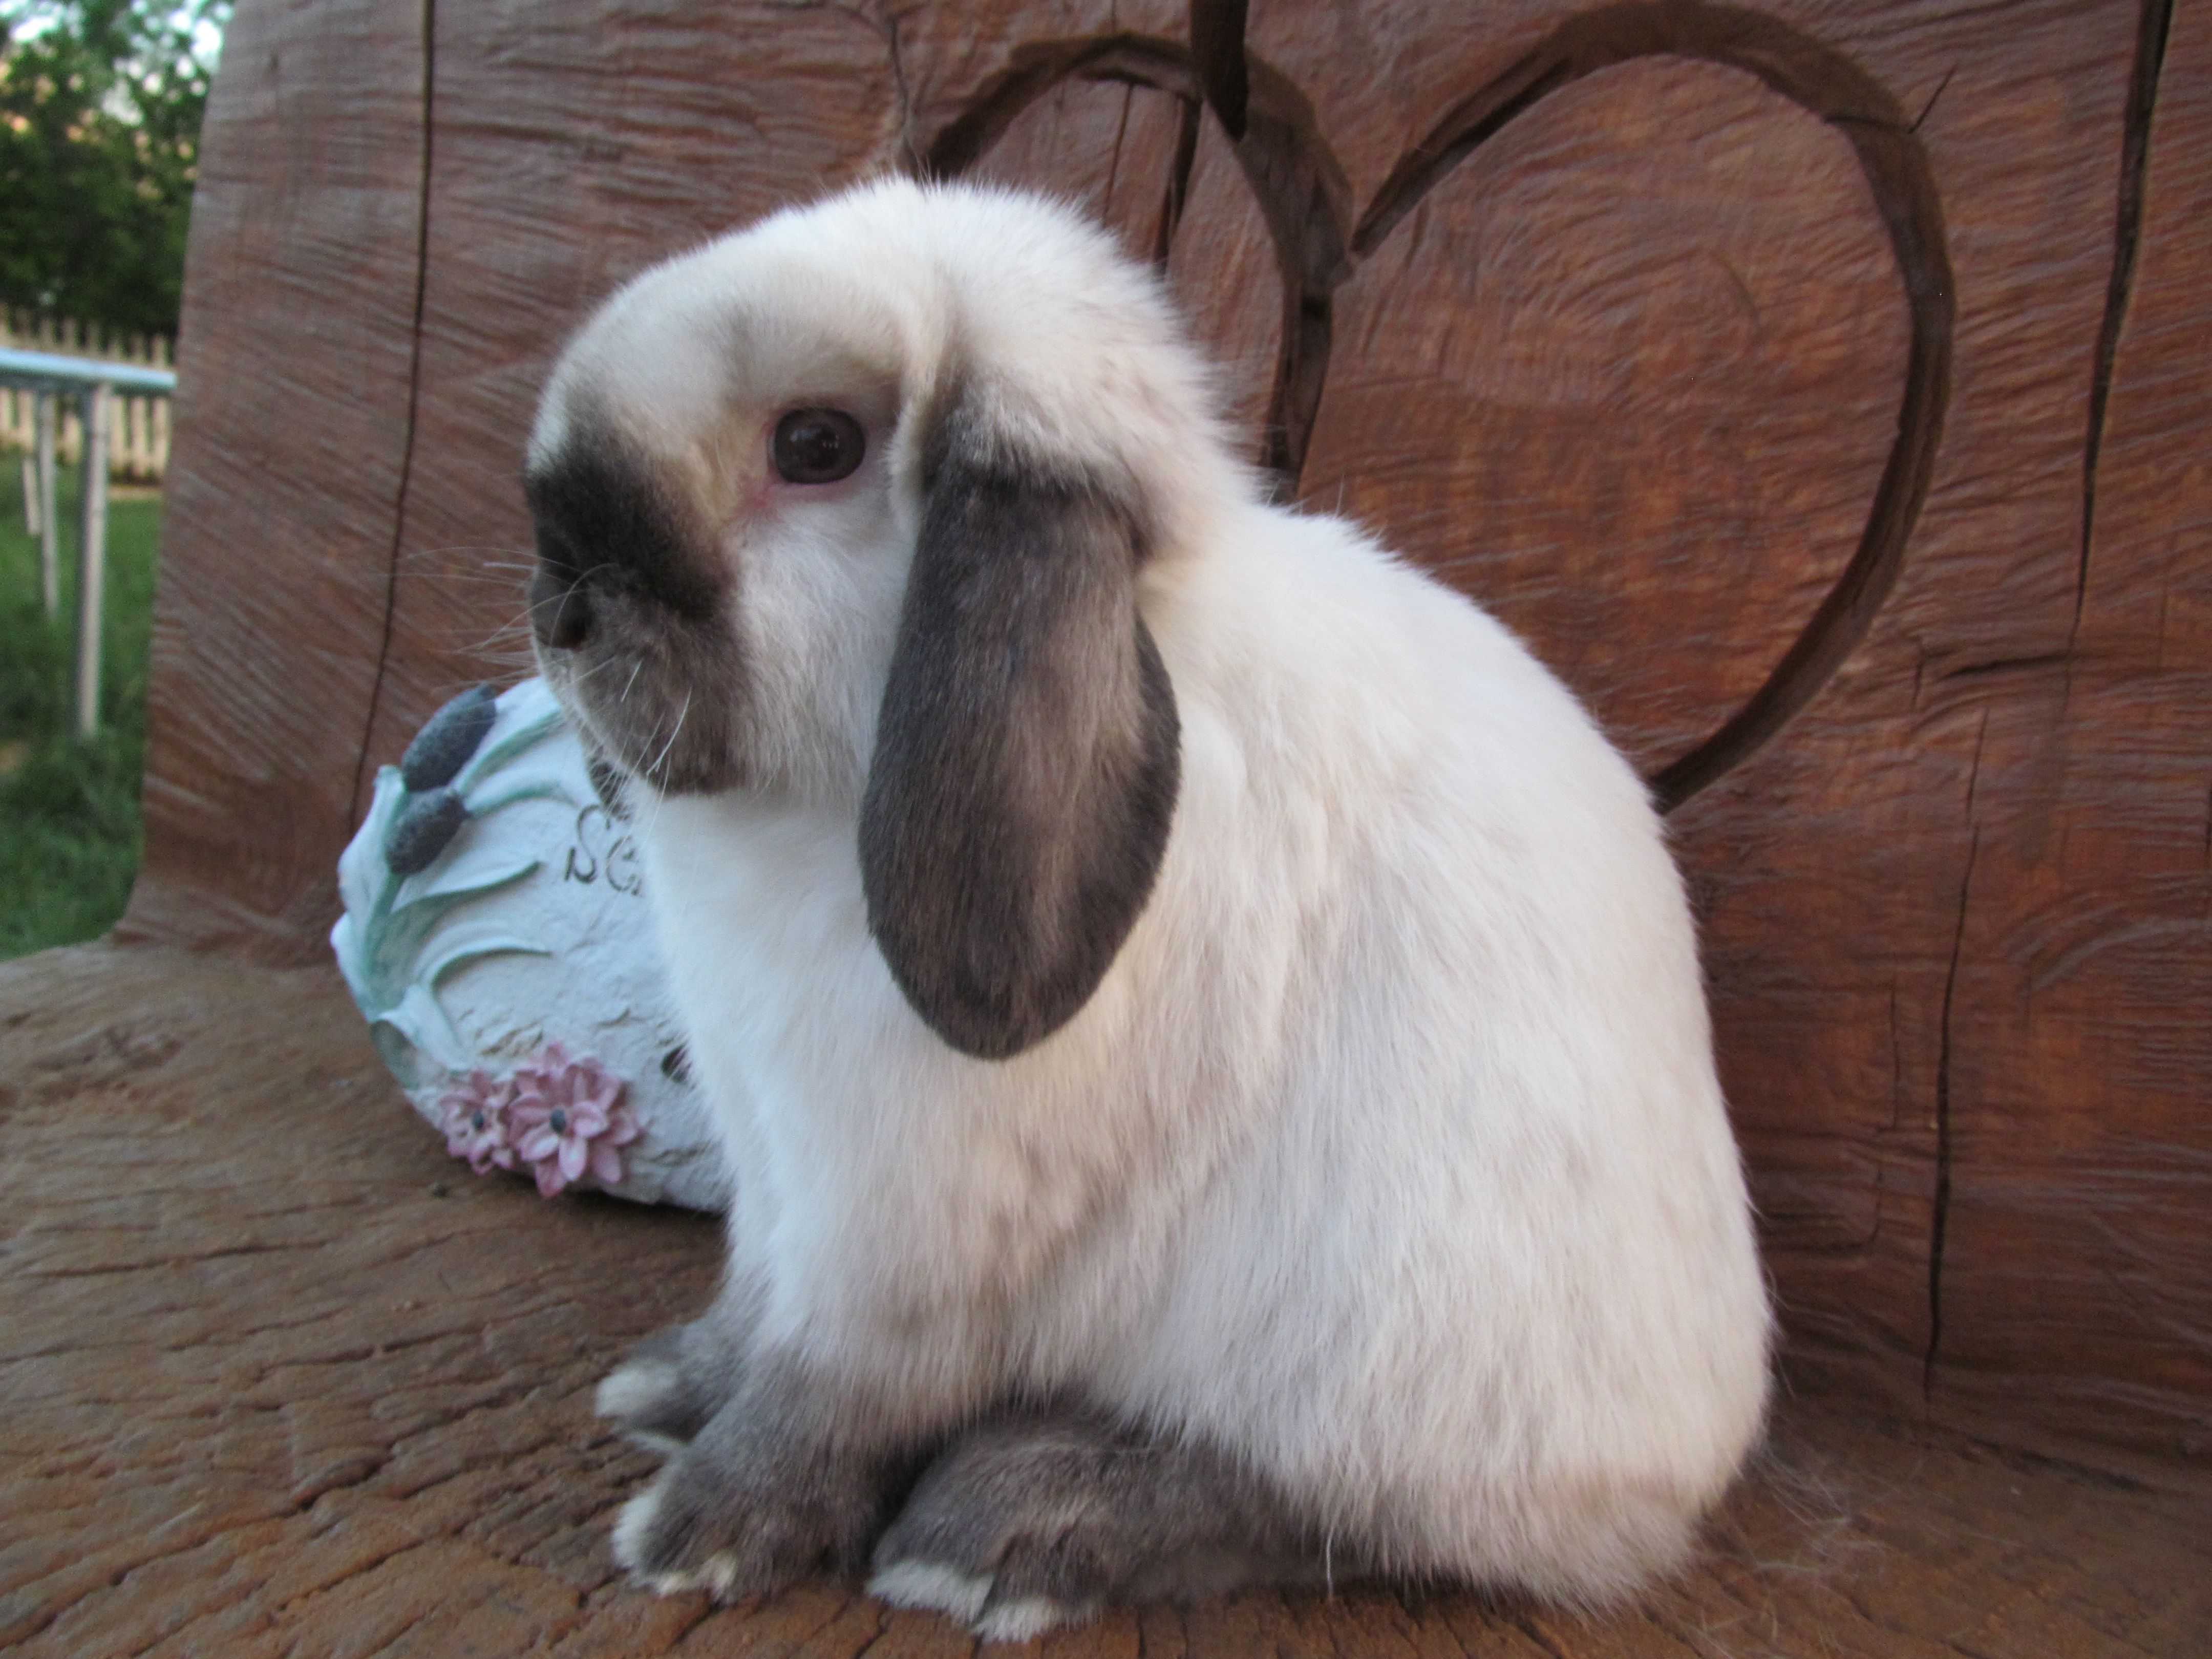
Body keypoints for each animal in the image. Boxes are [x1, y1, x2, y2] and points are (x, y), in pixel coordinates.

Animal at [526, 179, 1770, 1636]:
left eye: (816, 444)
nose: (564, 593)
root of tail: (1692, 1453)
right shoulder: (778, 1179)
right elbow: (752, 1312)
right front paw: (668, 1384)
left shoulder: (901, 1221)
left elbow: (833, 1390)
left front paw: (701, 1529)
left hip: (1377, 1353)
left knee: (1308, 1504)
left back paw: (1002, 1526)